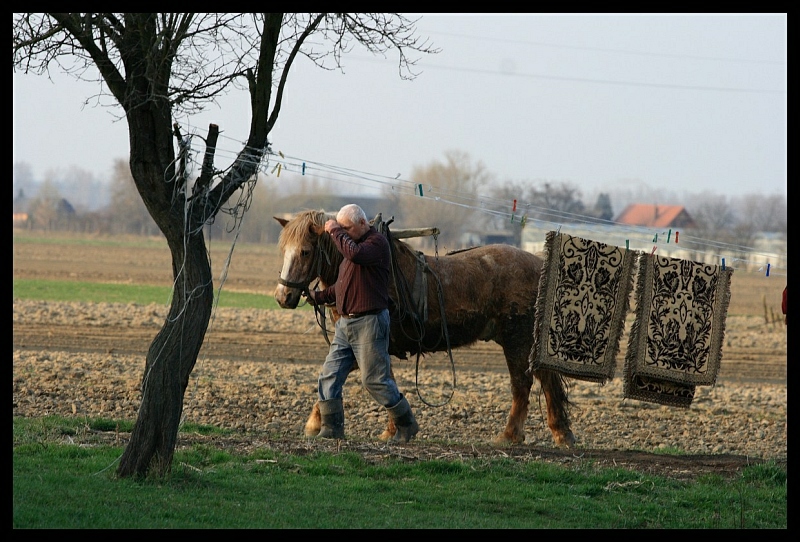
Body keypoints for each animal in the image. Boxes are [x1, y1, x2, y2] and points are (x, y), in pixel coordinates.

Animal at [276, 210, 576, 448]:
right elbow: (350, 377)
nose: (283, 297)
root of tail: (539, 265)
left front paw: (316, 424)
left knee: (522, 385)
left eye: (305, 251)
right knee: (546, 381)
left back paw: (510, 434)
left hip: (517, 339)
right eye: (284, 250)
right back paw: (561, 432)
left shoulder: (370, 344)